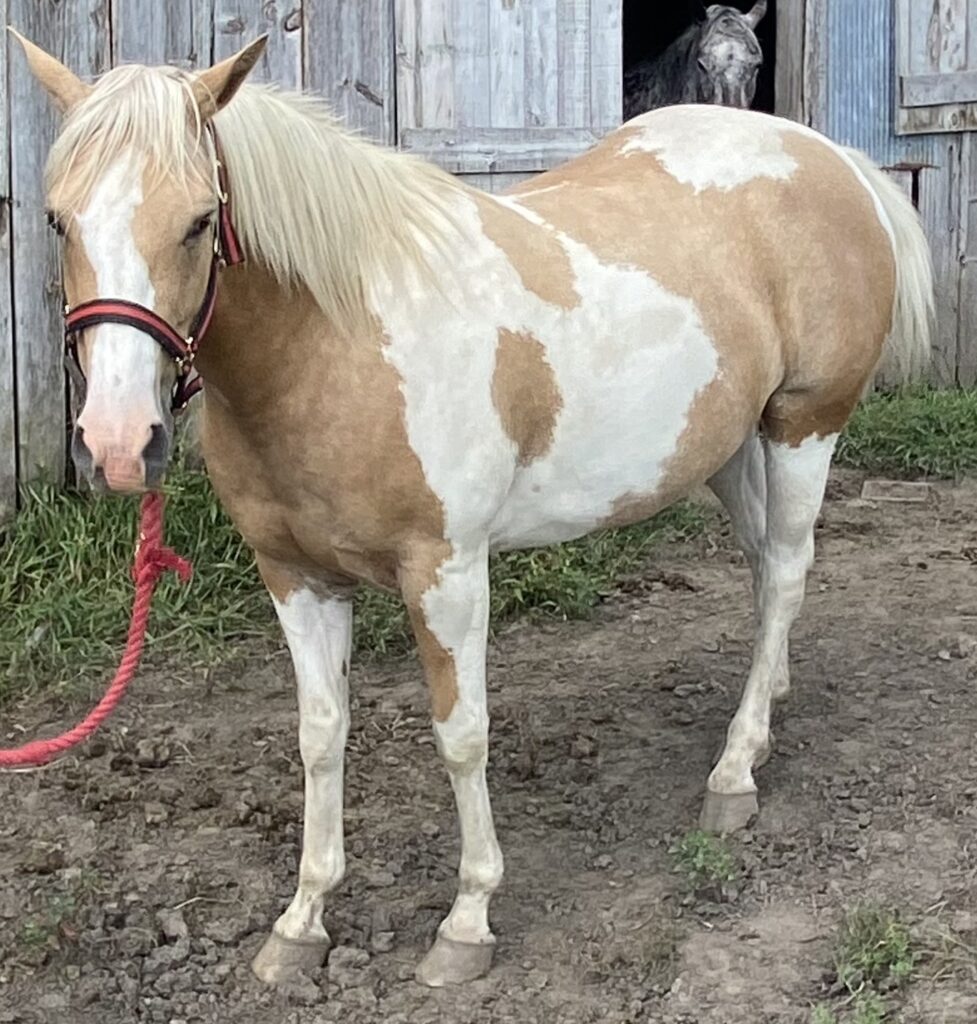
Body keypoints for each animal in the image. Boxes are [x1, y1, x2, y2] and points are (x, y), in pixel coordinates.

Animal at [12, 31, 933, 989]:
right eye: (58, 220)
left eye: (198, 221)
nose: (120, 442)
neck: (338, 339)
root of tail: (831, 159)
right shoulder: (294, 575)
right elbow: (318, 736)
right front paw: (302, 922)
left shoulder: (446, 571)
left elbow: (461, 736)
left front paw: (467, 920)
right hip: (722, 444)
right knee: (761, 570)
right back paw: (765, 711)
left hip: (803, 425)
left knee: (785, 571)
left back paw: (734, 771)